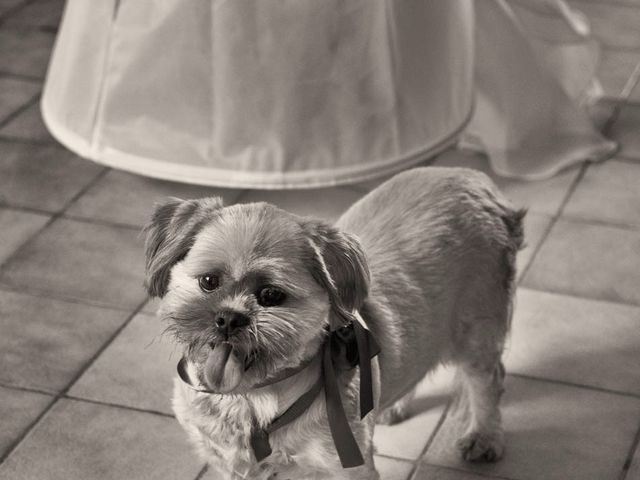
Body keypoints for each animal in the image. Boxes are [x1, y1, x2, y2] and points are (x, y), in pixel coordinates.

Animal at [145, 167, 524, 478]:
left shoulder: (345, 465)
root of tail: (477, 181)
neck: (251, 398)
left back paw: (484, 436)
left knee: (488, 380)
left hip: (476, 330)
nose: (228, 318)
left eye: (271, 295)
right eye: (209, 281)